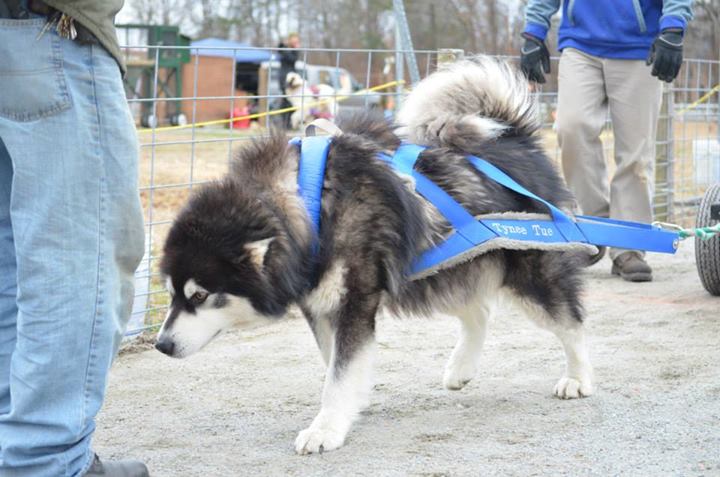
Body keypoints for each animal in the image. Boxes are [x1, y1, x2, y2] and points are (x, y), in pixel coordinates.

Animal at [155, 54, 592, 454]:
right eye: (172, 293)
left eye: (200, 295)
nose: (161, 346)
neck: (311, 199)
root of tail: (516, 141)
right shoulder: (320, 303)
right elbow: (335, 365)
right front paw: (344, 413)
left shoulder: (352, 300)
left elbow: (340, 372)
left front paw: (326, 428)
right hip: (444, 267)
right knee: (479, 311)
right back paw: (462, 367)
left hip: (529, 276)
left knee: (571, 324)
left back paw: (578, 377)